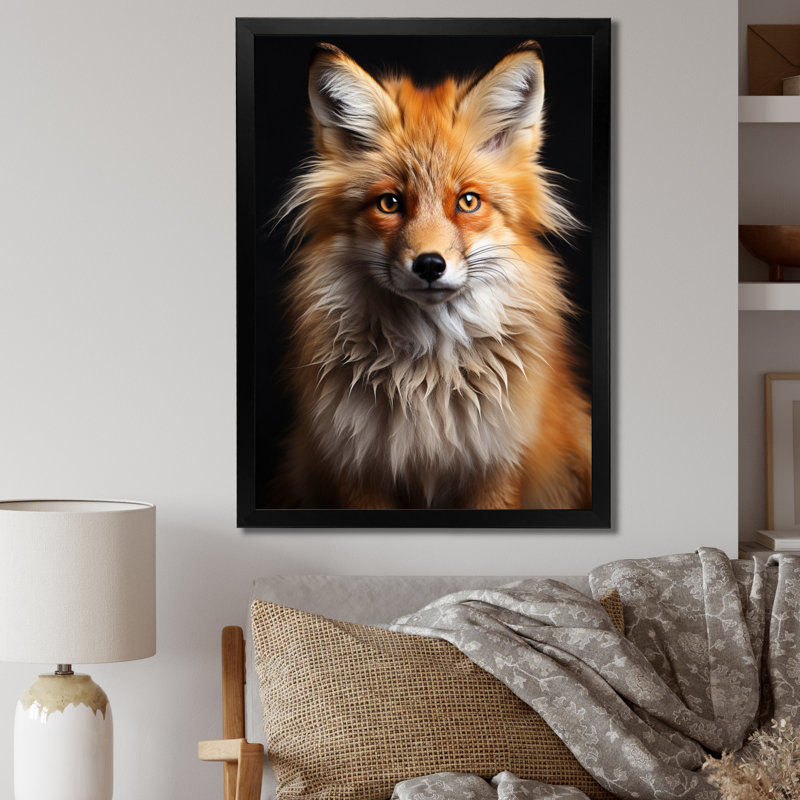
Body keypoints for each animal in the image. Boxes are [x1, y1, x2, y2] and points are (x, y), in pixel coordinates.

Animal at [277, 40, 592, 510]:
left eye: (468, 201)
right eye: (389, 203)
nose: (429, 265)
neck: (427, 381)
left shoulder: (497, 465)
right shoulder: (357, 467)